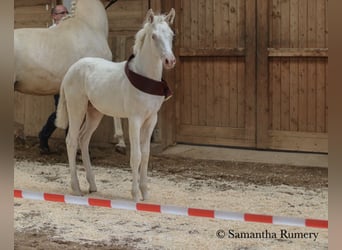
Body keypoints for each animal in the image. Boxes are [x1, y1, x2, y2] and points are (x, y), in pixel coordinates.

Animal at [56, 8, 176, 201]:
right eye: (154, 36)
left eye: (171, 35)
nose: (169, 61)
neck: (145, 77)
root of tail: (71, 70)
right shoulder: (135, 120)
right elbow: (136, 156)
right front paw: (135, 195)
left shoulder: (151, 120)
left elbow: (146, 155)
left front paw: (145, 194)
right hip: (77, 109)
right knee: (72, 140)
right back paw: (76, 188)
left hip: (94, 112)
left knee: (83, 139)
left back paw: (92, 185)